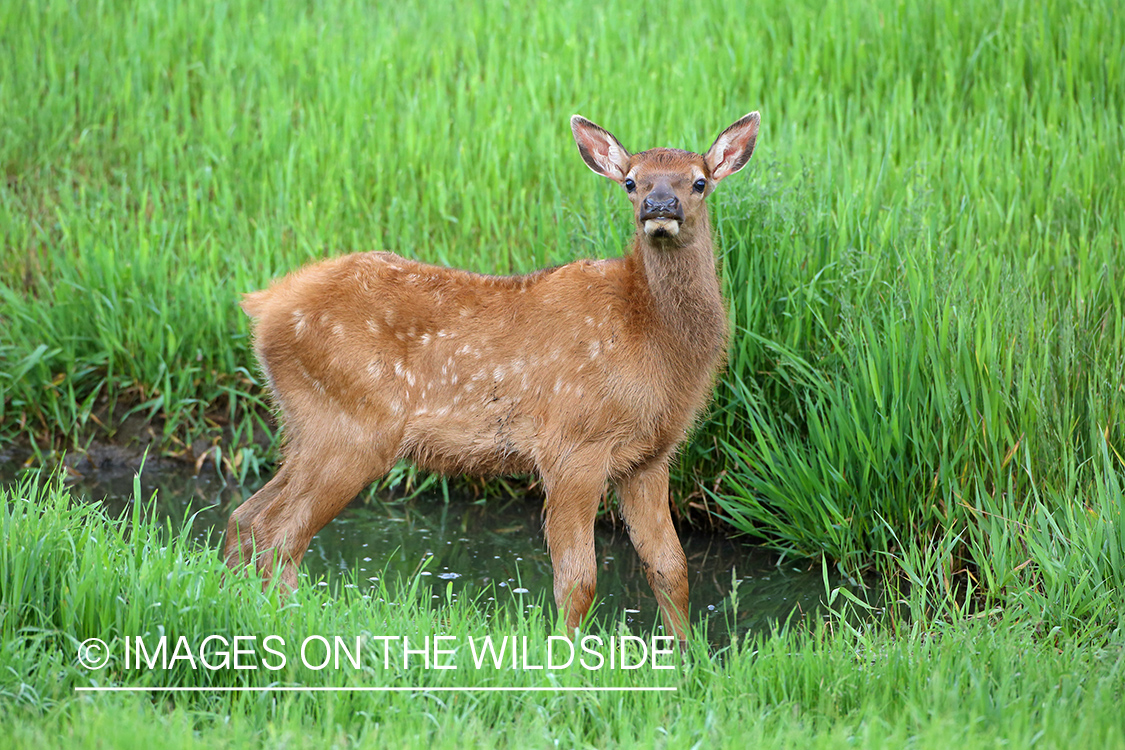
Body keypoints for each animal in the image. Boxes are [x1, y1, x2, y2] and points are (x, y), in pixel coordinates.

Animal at [223, 113, 760, 647]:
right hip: (350, 428)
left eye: (699, 181)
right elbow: (578, 578)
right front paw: (567, 656)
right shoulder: (573, 443)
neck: (652, 341)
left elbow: (671, 568)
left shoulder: (649, 456)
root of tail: (264, 306)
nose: (659, 206)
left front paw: (689, 656)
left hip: (308, 427)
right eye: (630, 181)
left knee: (244, 517)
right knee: (278, 533)